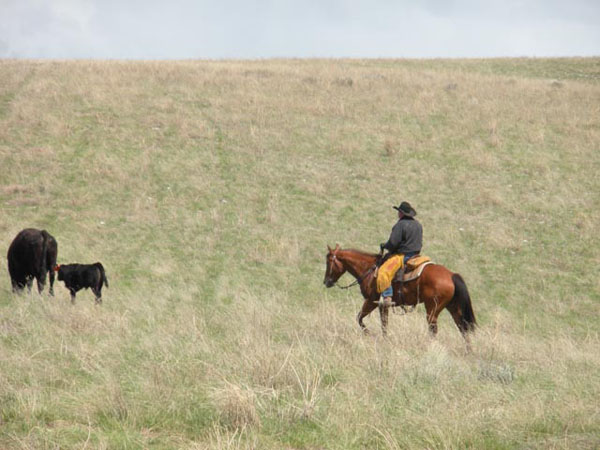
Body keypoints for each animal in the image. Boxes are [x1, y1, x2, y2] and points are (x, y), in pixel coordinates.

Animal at [326, 246, 476, 342]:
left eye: (328, 262)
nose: (326, 281)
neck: (369, 270)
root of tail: (451, 275)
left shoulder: (371, 301)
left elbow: (360, 318)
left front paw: (370, 334)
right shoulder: (382, 305)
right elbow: (383, 323)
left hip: (432, 309)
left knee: (433, 329)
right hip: (453, 307)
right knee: (462, 327)